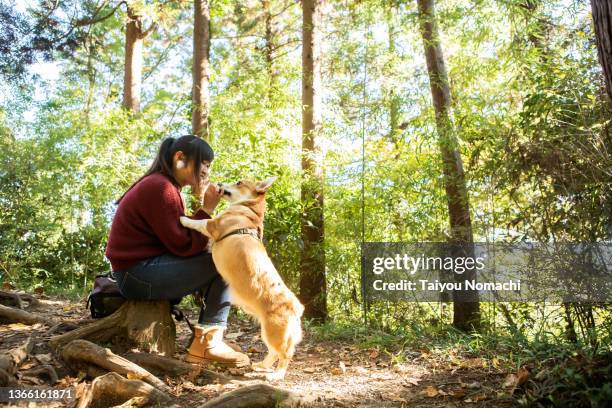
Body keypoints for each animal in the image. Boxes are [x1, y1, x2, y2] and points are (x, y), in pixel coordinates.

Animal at [182, 177, 306, 380]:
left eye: (239, 182)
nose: (220, 183)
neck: (248, 209)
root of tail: (296, 307)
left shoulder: (213, 225)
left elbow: (201, 221)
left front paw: (184, 218)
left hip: (275, 332)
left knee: (285, 354)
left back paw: (276, 375)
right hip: (266, 331)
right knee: (273, 352)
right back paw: (262, 365)